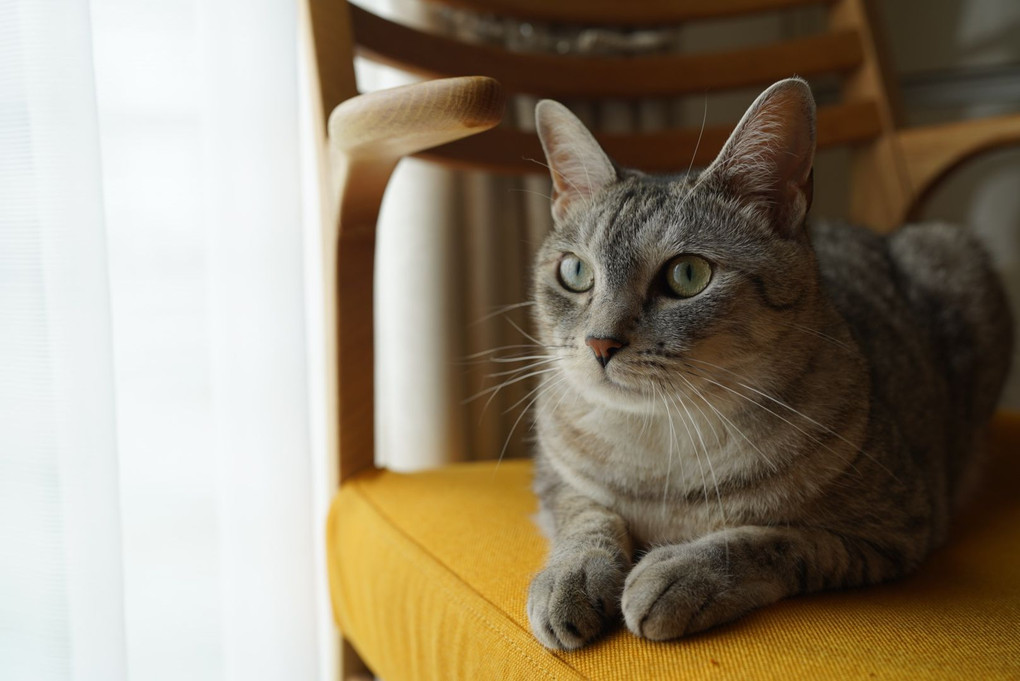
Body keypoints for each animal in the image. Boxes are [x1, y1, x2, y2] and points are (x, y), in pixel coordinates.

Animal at [526, 75, 1011, 648]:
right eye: (575, 271)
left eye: (687, 275)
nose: (600, 344)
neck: (662, 448)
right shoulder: (554, 475)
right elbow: (586, 517)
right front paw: (569, 578)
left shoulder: (895, 526)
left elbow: (769, 541)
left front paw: (678, 573)